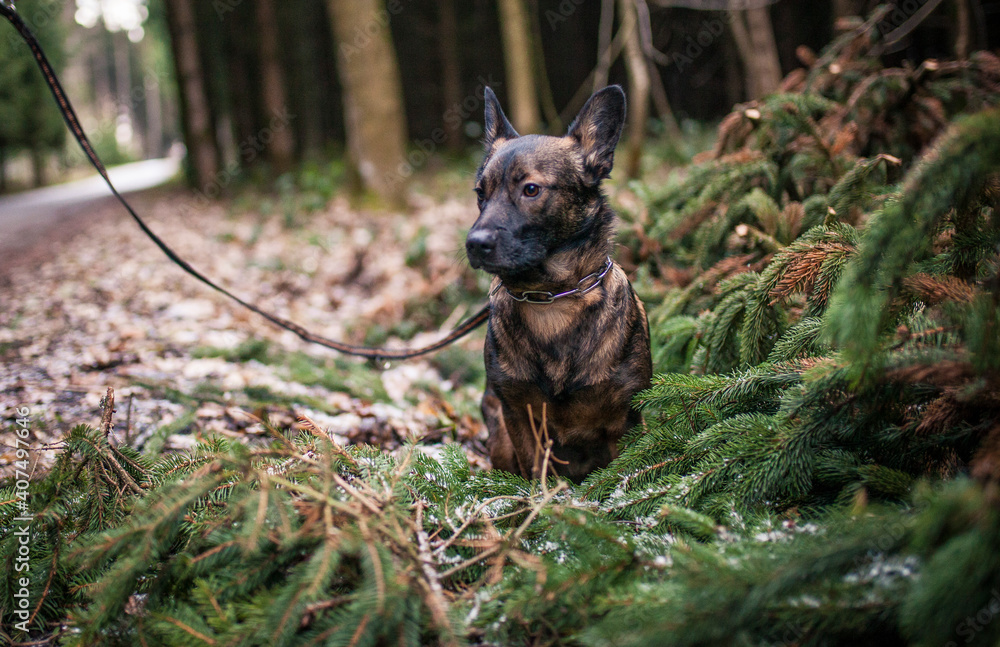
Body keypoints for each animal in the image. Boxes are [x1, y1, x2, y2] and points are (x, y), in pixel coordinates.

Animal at [464, 85, 652, 480]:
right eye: (480, 194)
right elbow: (536, 473)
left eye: (531, 189)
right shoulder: (519, 416)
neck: (550, 297)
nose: (474, 244)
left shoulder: (624, 419)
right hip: (499, 434)